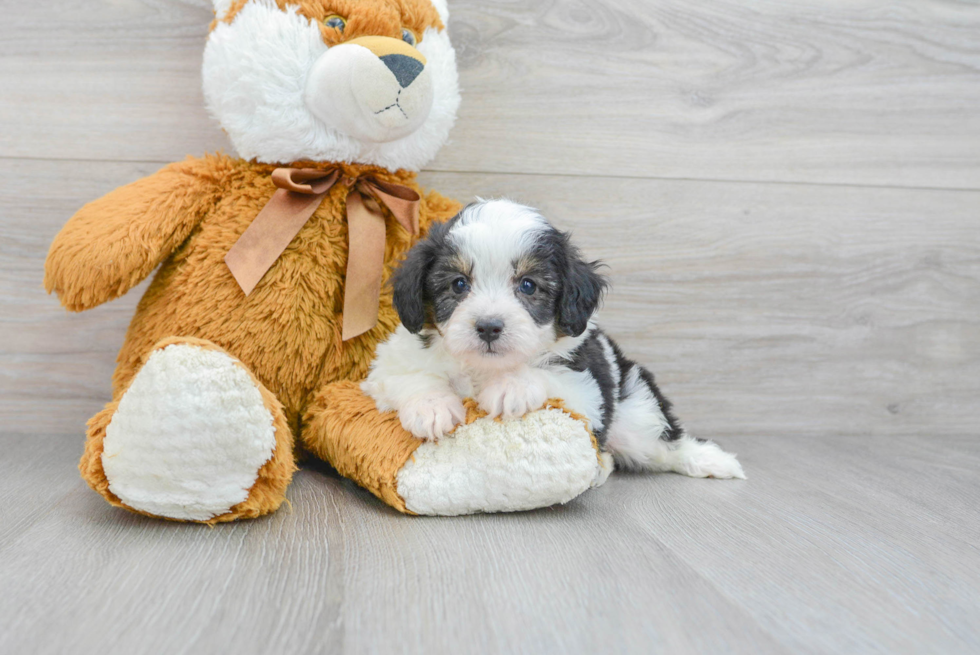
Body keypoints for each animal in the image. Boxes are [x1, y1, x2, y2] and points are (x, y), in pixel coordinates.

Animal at [364, 197, 748, 480]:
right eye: (459, 284)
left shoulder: (586, 393)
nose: (488, 326)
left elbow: (549, 375)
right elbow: (408, 376)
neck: (483, 368)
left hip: (635, 417)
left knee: (663, 443)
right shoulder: (385, 367)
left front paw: (512, 386)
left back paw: (710, 460)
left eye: (528, 285)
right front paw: (432, 407)